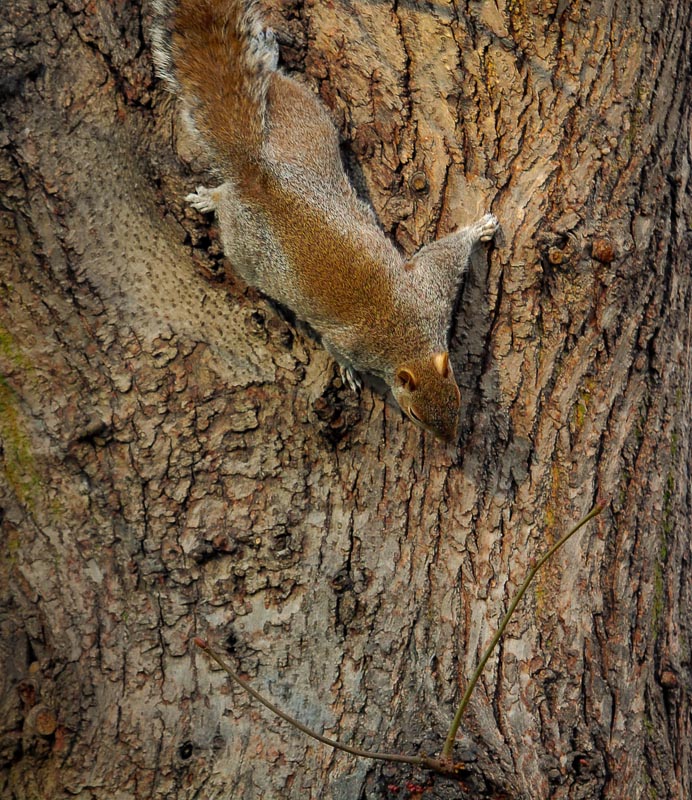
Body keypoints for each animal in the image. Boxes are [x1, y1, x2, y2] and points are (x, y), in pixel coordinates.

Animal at [151, 0, 498, 442]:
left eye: (456, 396)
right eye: (415, 414)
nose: (450, 441)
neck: (408, 339)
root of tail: (256, 174)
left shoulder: (429, 297)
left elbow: (445, 254)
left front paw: (480, 229)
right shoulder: (381, 323)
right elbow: (343, 346)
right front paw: (348, 373)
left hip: (307, 124)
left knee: (271, 84)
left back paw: (267, 58)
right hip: (245, 246)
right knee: (226, 199)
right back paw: (210, 198)